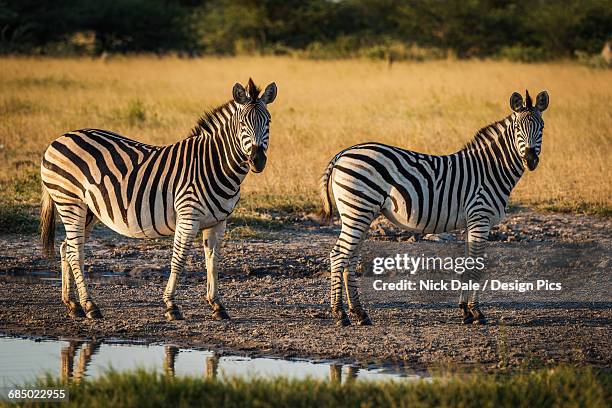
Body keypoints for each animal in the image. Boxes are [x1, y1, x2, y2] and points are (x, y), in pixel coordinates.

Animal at [39, 79, 276, 322]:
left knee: (67, 248)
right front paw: (171, 305)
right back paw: (90, 306)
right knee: (75, 251)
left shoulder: (218, 222)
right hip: (70, 202)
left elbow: (213, 262)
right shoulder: (188, 217)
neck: (214, 164)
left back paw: (72, 304)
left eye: (268, 122)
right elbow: (178, 259)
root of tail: (59, 138)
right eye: (242, 124)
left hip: (89, 209)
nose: (257, 161)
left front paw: (217, 305)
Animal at [320, 89, 548, 326]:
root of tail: (342, 154)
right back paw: (340, 314)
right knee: (338, 255)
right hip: (358, 210)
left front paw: (465, 310)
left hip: (360, 213)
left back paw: (359, 313)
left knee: (350, 258)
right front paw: (477, 313)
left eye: (542, 127)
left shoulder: (472, 222)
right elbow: (477, 264)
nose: (531, 160)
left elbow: (468, 262)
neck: (491, 169)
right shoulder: (480, 217)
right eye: (518, 129)